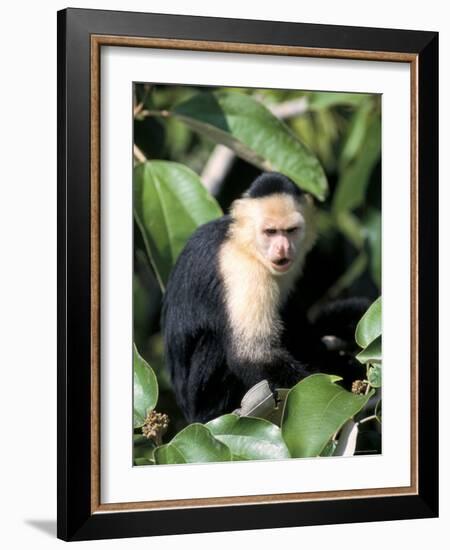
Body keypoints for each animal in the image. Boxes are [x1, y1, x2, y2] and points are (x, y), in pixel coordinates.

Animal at [163, 175, 362, 424]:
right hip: (200, 404)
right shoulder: (242, 269)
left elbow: (301, 330)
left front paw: (338, 358)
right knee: (216, 342)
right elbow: (253, 355)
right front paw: (338, 382)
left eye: (291, 231)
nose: (283, 248)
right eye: (270, 232)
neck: (245, 243)